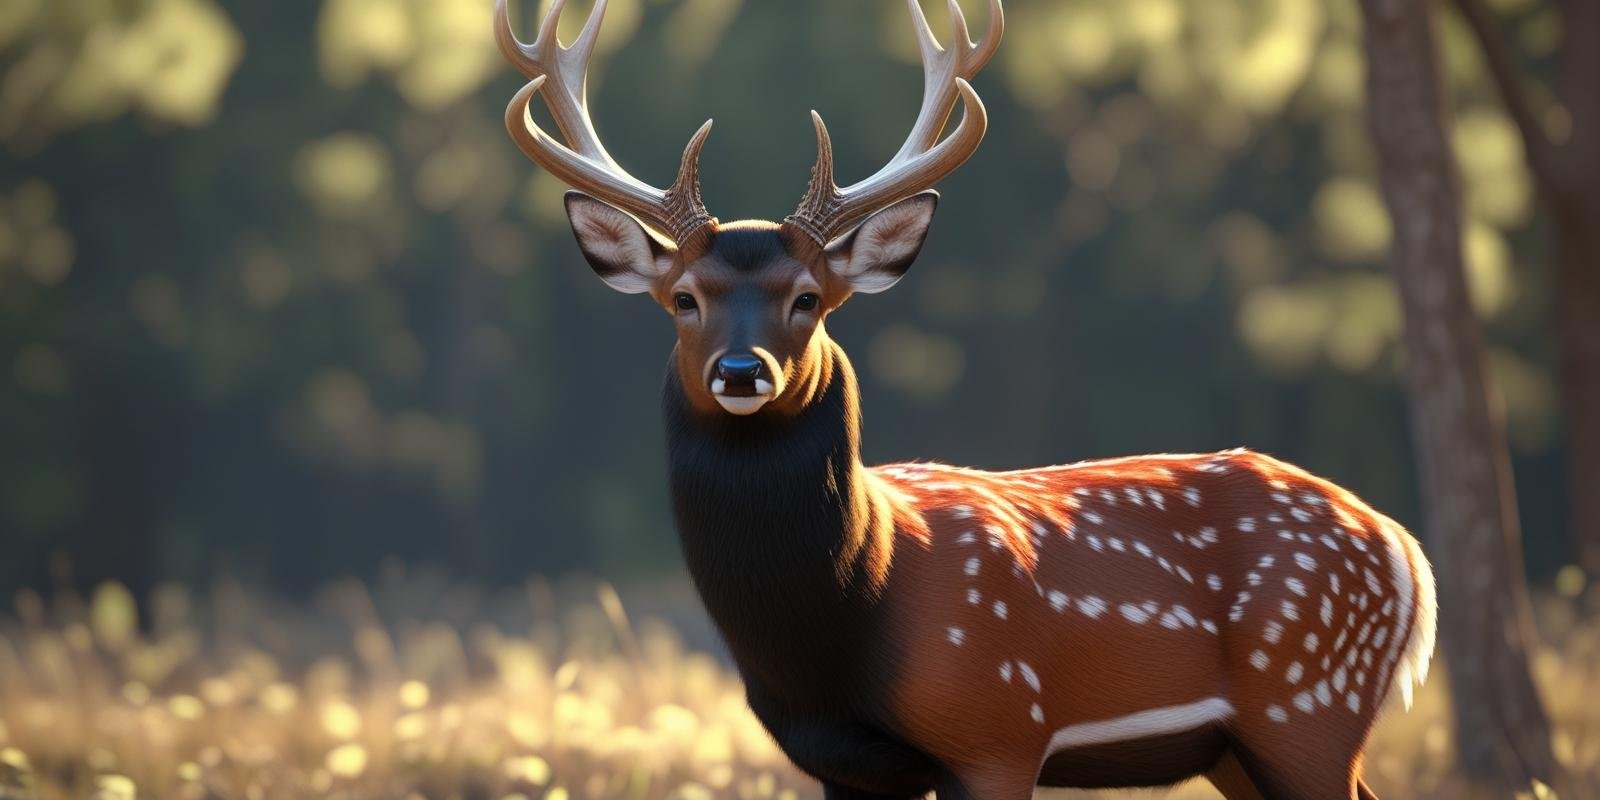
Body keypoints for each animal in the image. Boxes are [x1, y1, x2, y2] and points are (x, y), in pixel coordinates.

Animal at [494, 0, 1438, 797]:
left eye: (809, 298)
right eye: (684, 298)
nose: (740, 372)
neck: (852, 620)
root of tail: (1405, 551)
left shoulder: (996, 726)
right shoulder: (842, 762)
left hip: (1307, 701)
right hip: (1244, 745)